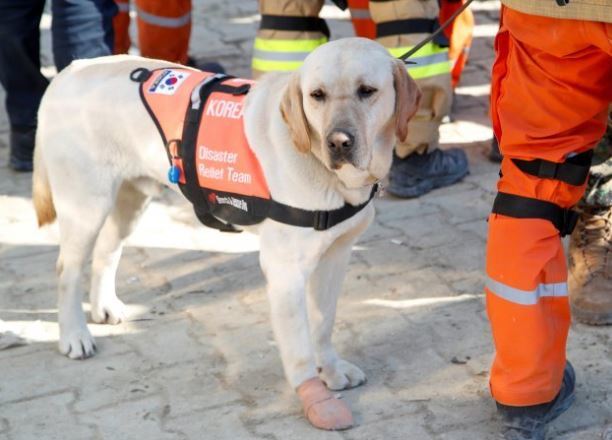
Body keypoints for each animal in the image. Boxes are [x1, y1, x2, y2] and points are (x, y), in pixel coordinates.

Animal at [31, 37, 418, 430]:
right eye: (317, 95)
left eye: (367, 91)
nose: (338, 142)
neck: (328, 174)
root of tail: (69, 71)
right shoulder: (285, 273)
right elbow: (298, 348)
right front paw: (315, 396)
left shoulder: (336, 256)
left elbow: (323, 323)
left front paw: (332, 368)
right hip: (86, 205)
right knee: (67, 270)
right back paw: (74, 335)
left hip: (131, 199)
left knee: (107, 252)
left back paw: (104, 307)